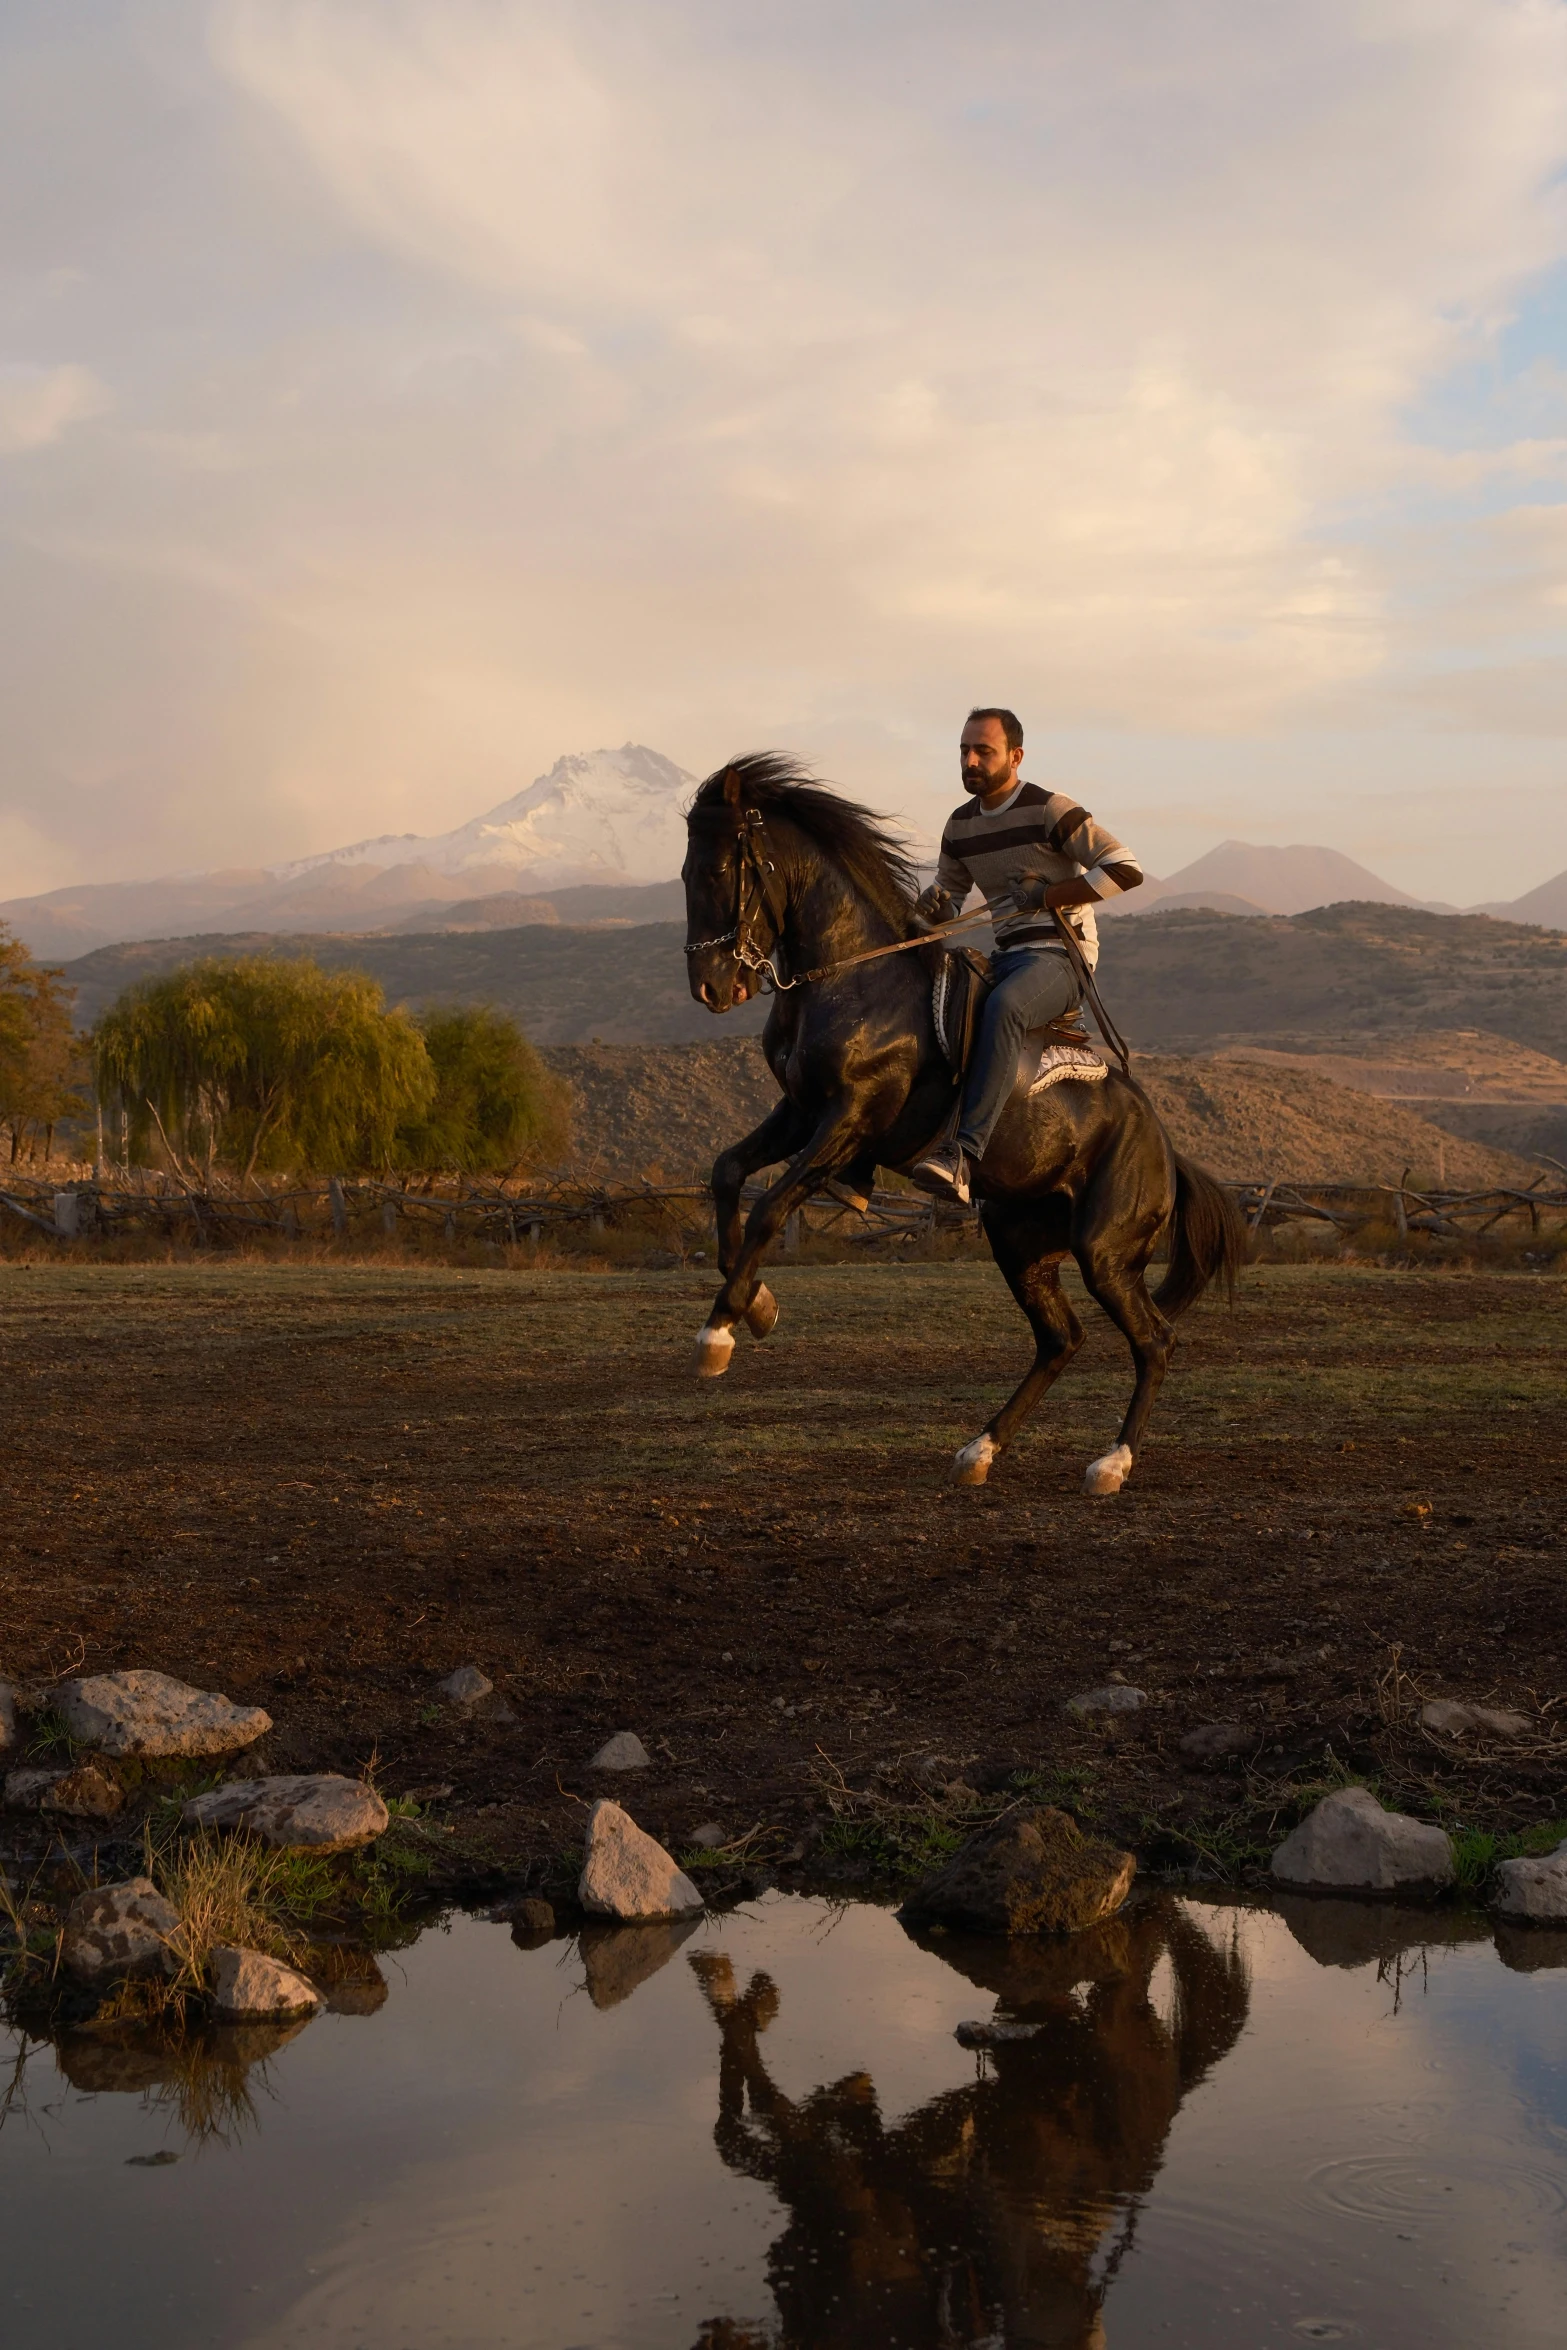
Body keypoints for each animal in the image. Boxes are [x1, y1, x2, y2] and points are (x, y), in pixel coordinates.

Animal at [681, 752, 1240, 1485]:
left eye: (720, 870)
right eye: (685, 872)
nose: (711, 988)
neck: (854, 983)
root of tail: (1166, 1148)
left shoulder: (851, 1116)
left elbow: (772, 1205)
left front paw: (718, 1332)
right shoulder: (799, 1109)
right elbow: (726, 1174)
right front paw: (758, 1303)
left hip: (1105, 1251)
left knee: (1154, 1340)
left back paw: (1110, 1464)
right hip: (1019, 1239)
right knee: (1060, 1339)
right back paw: (981, 1448)